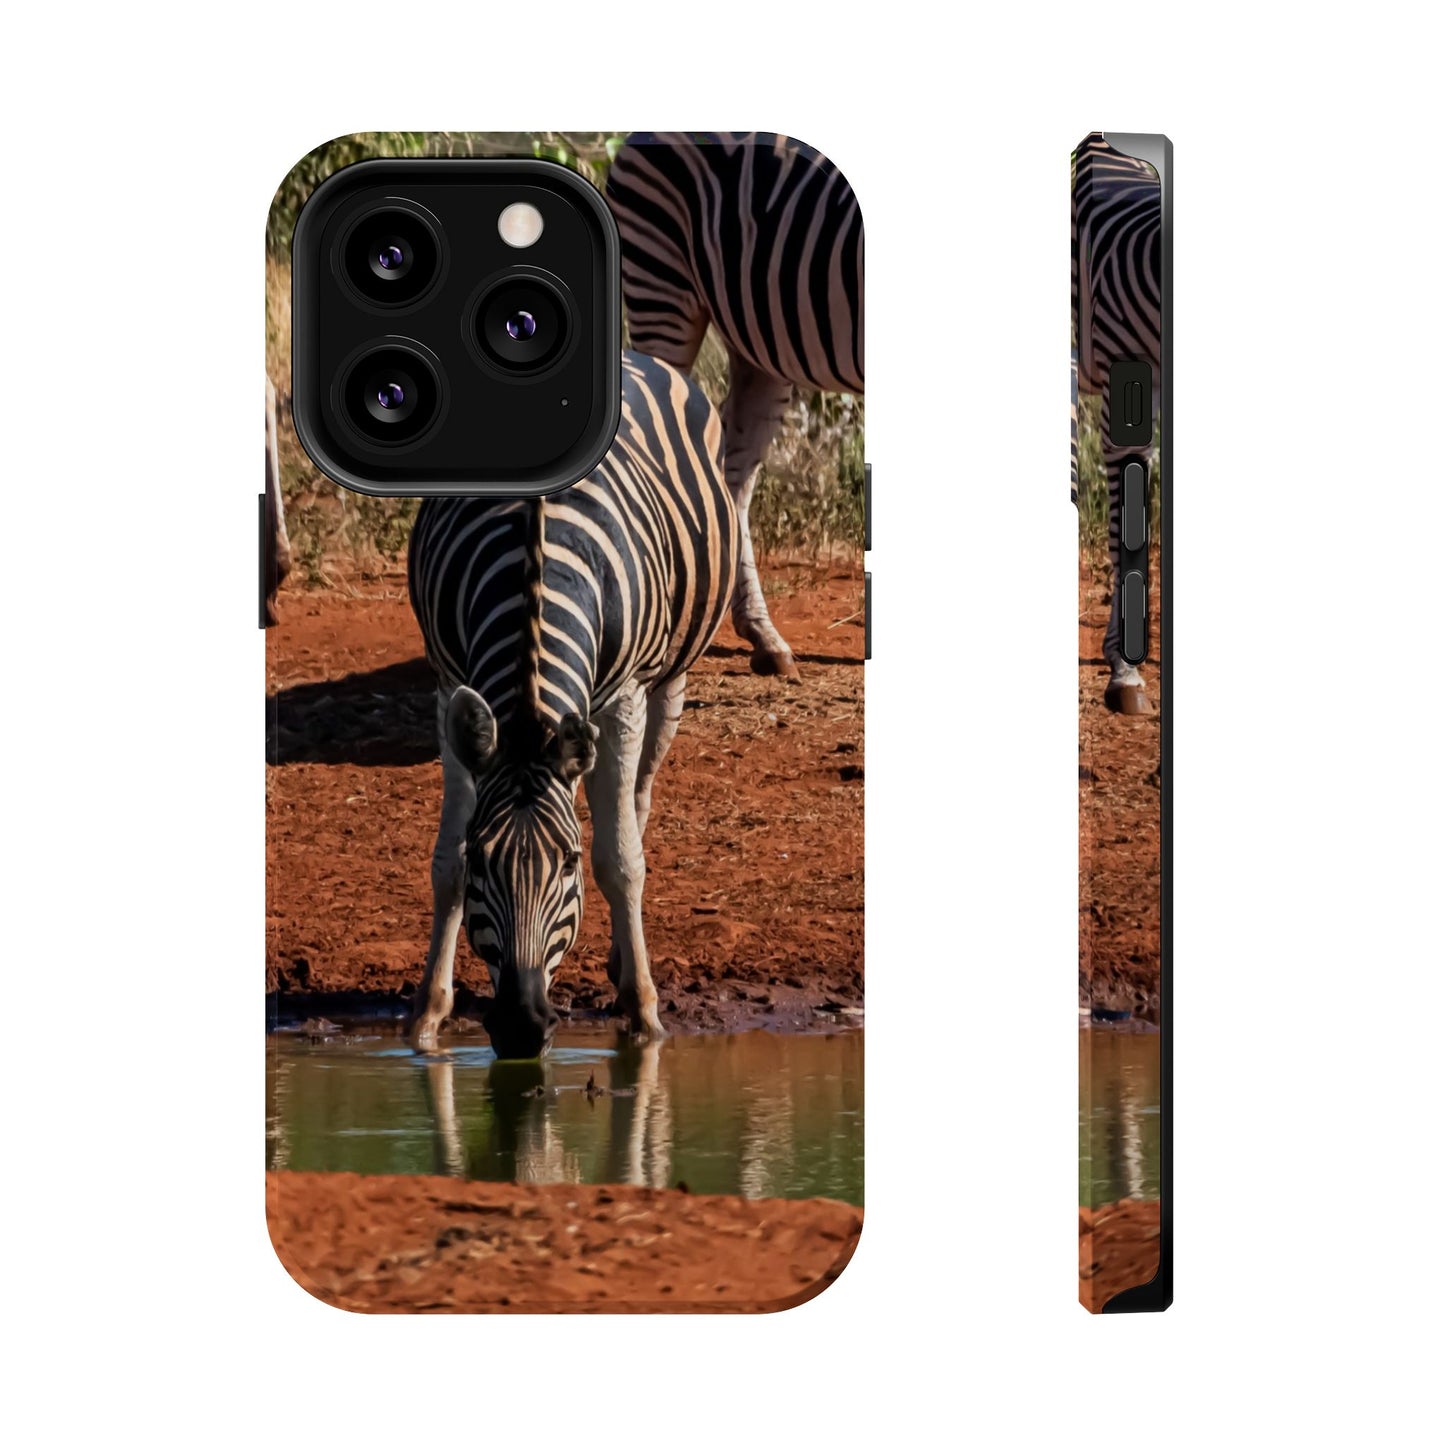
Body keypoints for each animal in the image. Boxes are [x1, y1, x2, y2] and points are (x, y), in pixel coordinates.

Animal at [407, 350, 738, 1057]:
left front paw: (644, 1014)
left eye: (568, 863)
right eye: (485, 858)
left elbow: (621, 861)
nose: (521, 1027)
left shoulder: (624, 697)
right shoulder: (449, 685)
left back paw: (622, 963)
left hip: (668, 681)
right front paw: (426, 1015)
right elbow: (444, 864)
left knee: (636, 802)